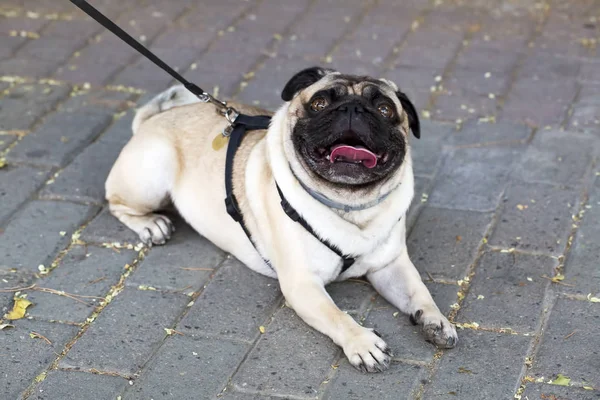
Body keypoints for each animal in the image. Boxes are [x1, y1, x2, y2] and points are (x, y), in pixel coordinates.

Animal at [105, 66, 458, 372]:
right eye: (319, 103)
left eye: (384, 109)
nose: (353, 109)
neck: (350, 206)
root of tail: (153, 119)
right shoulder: (302, 284)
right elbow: (337, 315)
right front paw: (362, 342)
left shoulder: (390, 265)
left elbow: (419, 292)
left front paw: (435, 319)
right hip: (153, 175)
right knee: (116, 202)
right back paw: (150, 225)